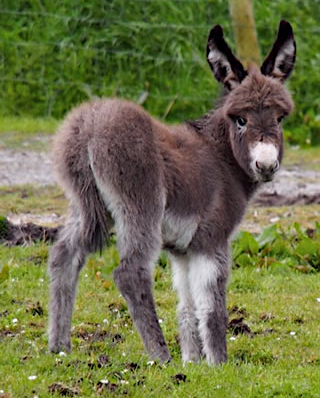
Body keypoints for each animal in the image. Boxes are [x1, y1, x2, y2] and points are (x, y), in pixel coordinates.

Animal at [48, 21, 296, 364]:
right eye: (241, 119)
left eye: (280, 118)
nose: (267, 165)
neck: (223, 159)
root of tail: (87, 125)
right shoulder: (212, 240)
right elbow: (213, 308)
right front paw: (219, 364)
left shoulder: (183, 250)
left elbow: (188, 309)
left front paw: (193, 362)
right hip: (141, 206)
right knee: (131, 272)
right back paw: (160, 356)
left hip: (87, 206)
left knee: (64, 255)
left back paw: (59, 347)